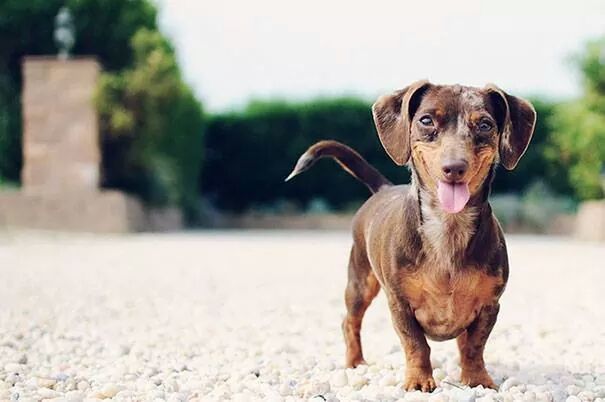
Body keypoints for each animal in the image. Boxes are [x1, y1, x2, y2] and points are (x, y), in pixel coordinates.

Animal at [286, 80, 536, 392]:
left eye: (485, 125)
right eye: (426, 121)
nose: (454, 167)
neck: (447, 227)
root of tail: (383, 188)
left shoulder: (490, 305)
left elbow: (474, 346)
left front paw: (476, 379)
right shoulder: (400, 303)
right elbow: (416, 344)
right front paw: (418, 379)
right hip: (360, 284)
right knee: (349, 322)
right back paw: (355, 362)